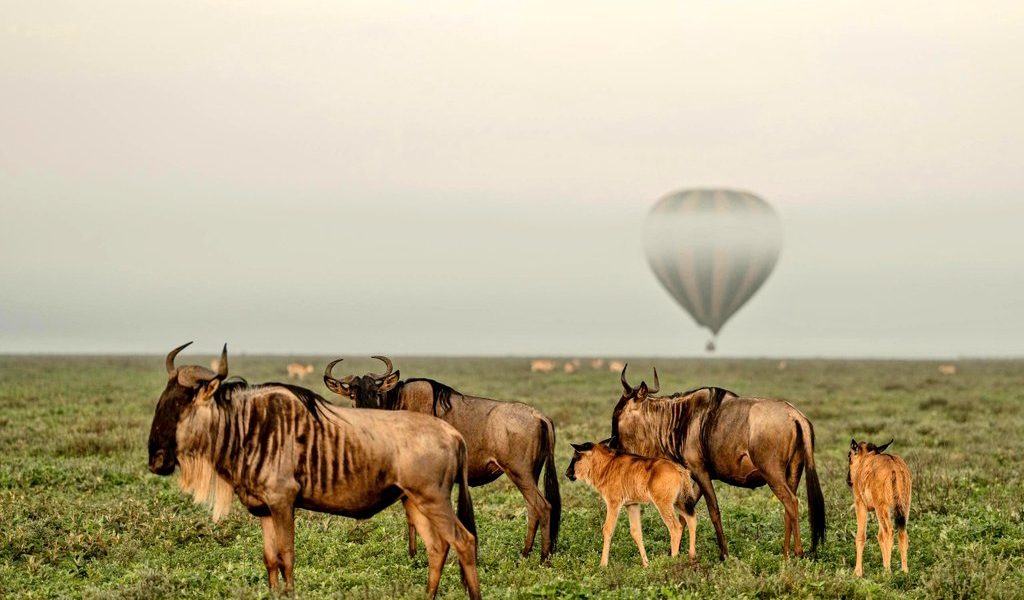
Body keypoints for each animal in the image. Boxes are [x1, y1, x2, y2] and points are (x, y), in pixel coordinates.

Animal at [148, 343, 480, 599]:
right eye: (160, 403)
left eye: (181, 406)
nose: (156, 460)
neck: (250, 427)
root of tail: (453, 434)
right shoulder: (265, 510)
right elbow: (270, 559)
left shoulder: (283, 503)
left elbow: (287, 557)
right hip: (415, 502)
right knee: (438, 548)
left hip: (435, 501)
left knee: (464, 542)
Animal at [324, 356, 561, 561]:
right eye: (352, 395)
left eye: (376, 392)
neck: (398, 403)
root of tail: (539, 416)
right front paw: (414, 555)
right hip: (529, 475)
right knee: (533, 509)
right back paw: (525, 553)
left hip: (520, 473)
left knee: (542, 507)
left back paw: (543, 557)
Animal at [608, 365, 825, 560]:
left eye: (617, 413)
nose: (611, 444)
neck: (680, 419)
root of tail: (795, 416)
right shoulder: (697, 476)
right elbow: (685, 513)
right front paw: (674, 553)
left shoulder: (701, 472)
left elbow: (713, 511)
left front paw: (724, 554)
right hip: (793, 471)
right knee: (789, 507)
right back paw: (786, 554)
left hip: (772, 473)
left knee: (791, 501)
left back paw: (798, 554)